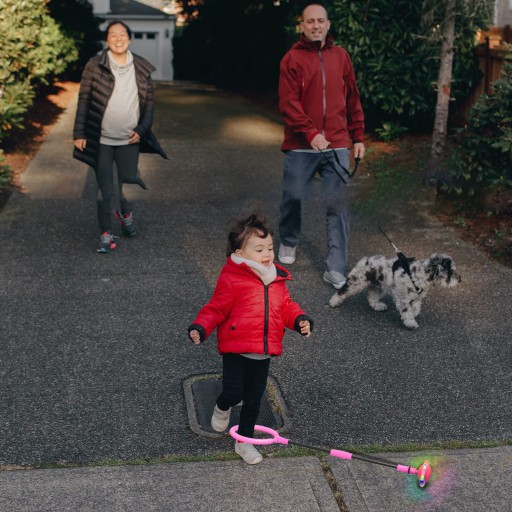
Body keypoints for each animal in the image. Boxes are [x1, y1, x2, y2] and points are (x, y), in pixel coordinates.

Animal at [329, 253, 461, 328]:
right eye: (451, 271)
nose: (460, 279)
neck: (419, 274)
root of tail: (365, 259)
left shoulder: (416, 299)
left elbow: (416, 309)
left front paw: (413, 315)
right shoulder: (402, 297)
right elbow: (406, 311)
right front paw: (410, 323)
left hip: (377, 285)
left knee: (371, 296)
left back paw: (377, 306)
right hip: (356, 282)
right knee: (343, 290)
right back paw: (333, 302)